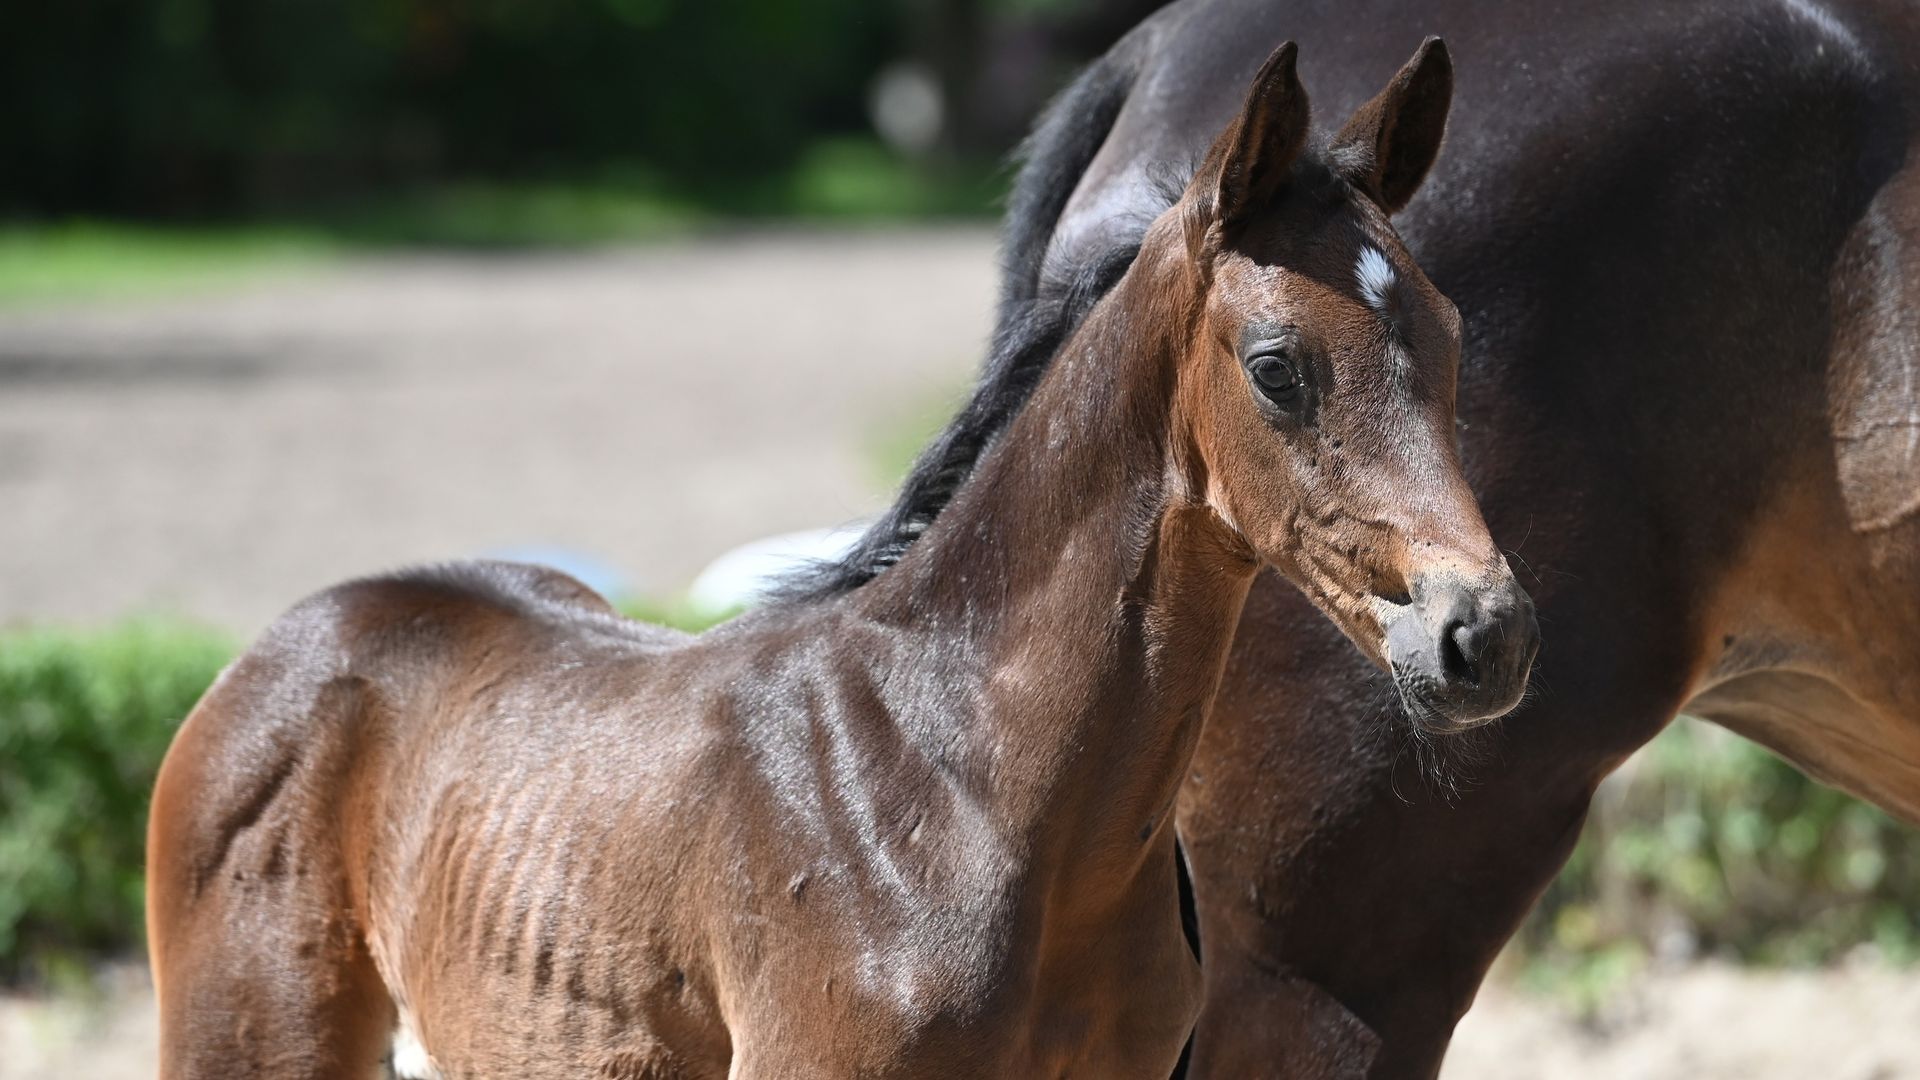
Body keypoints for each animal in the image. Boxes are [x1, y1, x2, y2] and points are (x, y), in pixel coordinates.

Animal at [145, 42, 1536, 1079]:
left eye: (1455, 335)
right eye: (1277, 367)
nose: (1485, 633)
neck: (965, 787)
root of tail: (286, 643)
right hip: (250, 1042)